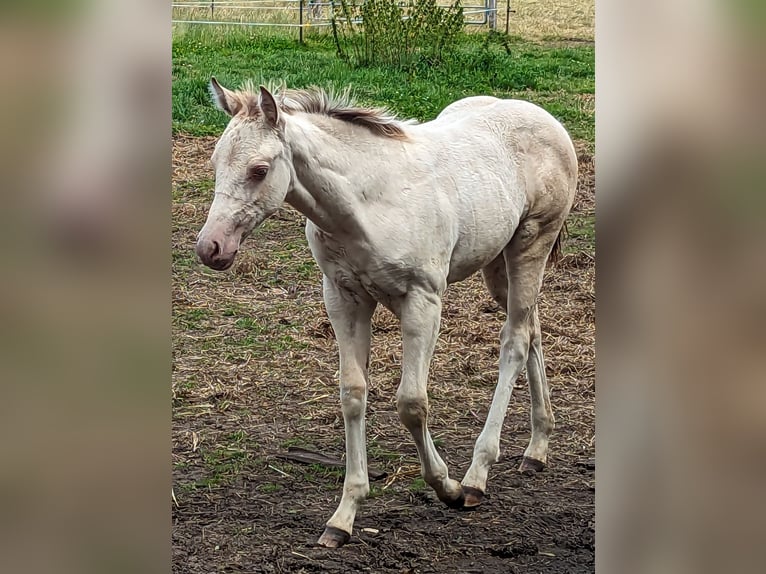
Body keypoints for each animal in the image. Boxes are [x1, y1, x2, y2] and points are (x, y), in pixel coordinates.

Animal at [195, 79, 580, 552]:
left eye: (260, 169)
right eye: (215, 162)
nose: (210, 247)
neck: (366, 204)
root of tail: (544, 117)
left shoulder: (423, 301)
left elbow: (411, 403)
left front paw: (448, 487)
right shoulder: (343, 298)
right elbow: (352, 393)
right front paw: (343, 516)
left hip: (531, 244)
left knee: (515, 340)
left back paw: (477, 475)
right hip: (497, 259)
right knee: (533, 329)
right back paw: (537, 447)